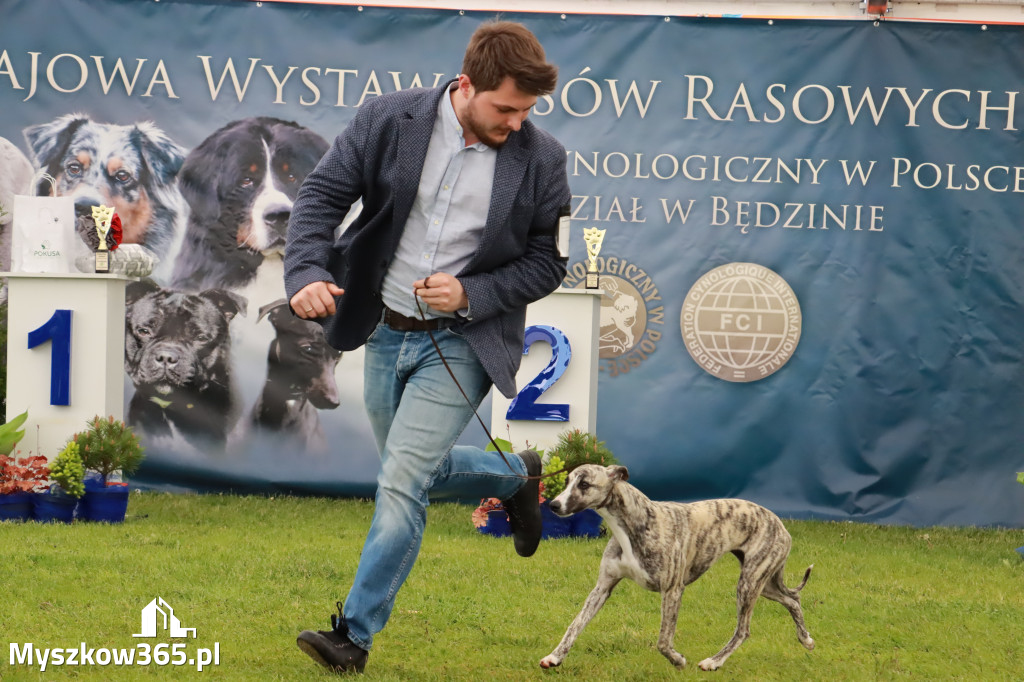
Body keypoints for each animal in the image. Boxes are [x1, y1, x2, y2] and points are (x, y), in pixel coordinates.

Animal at [540, 462, 811, 667]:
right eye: (566, 482)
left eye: (584, 484)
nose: (553, 505)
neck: (636, 524)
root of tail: (778, 522)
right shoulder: (602, 588)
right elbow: (575, 624)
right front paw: (554, 657)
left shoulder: (672, 590)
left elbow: (663, 641)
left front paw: (678, 660)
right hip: (762, 583)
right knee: (793, 599)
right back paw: (806, 639)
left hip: (749, 583)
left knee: (744, 630)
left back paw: (714, 661)